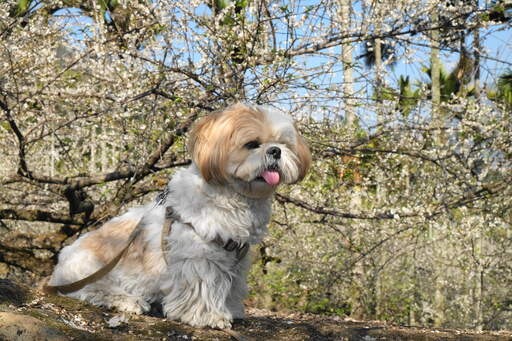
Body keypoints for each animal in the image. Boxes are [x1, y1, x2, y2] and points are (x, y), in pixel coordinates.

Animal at [47, 102, 312, 328]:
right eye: (252, 144)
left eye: (284, 144)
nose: (275, 151)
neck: (236, 197)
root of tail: (59, 266)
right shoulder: (200, 256)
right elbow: (204, 287)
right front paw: (209, 317)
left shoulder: (237, 258)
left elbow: (232, 286)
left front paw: (232, 310)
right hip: (89, 266)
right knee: (90, 291)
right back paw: (128, 300)